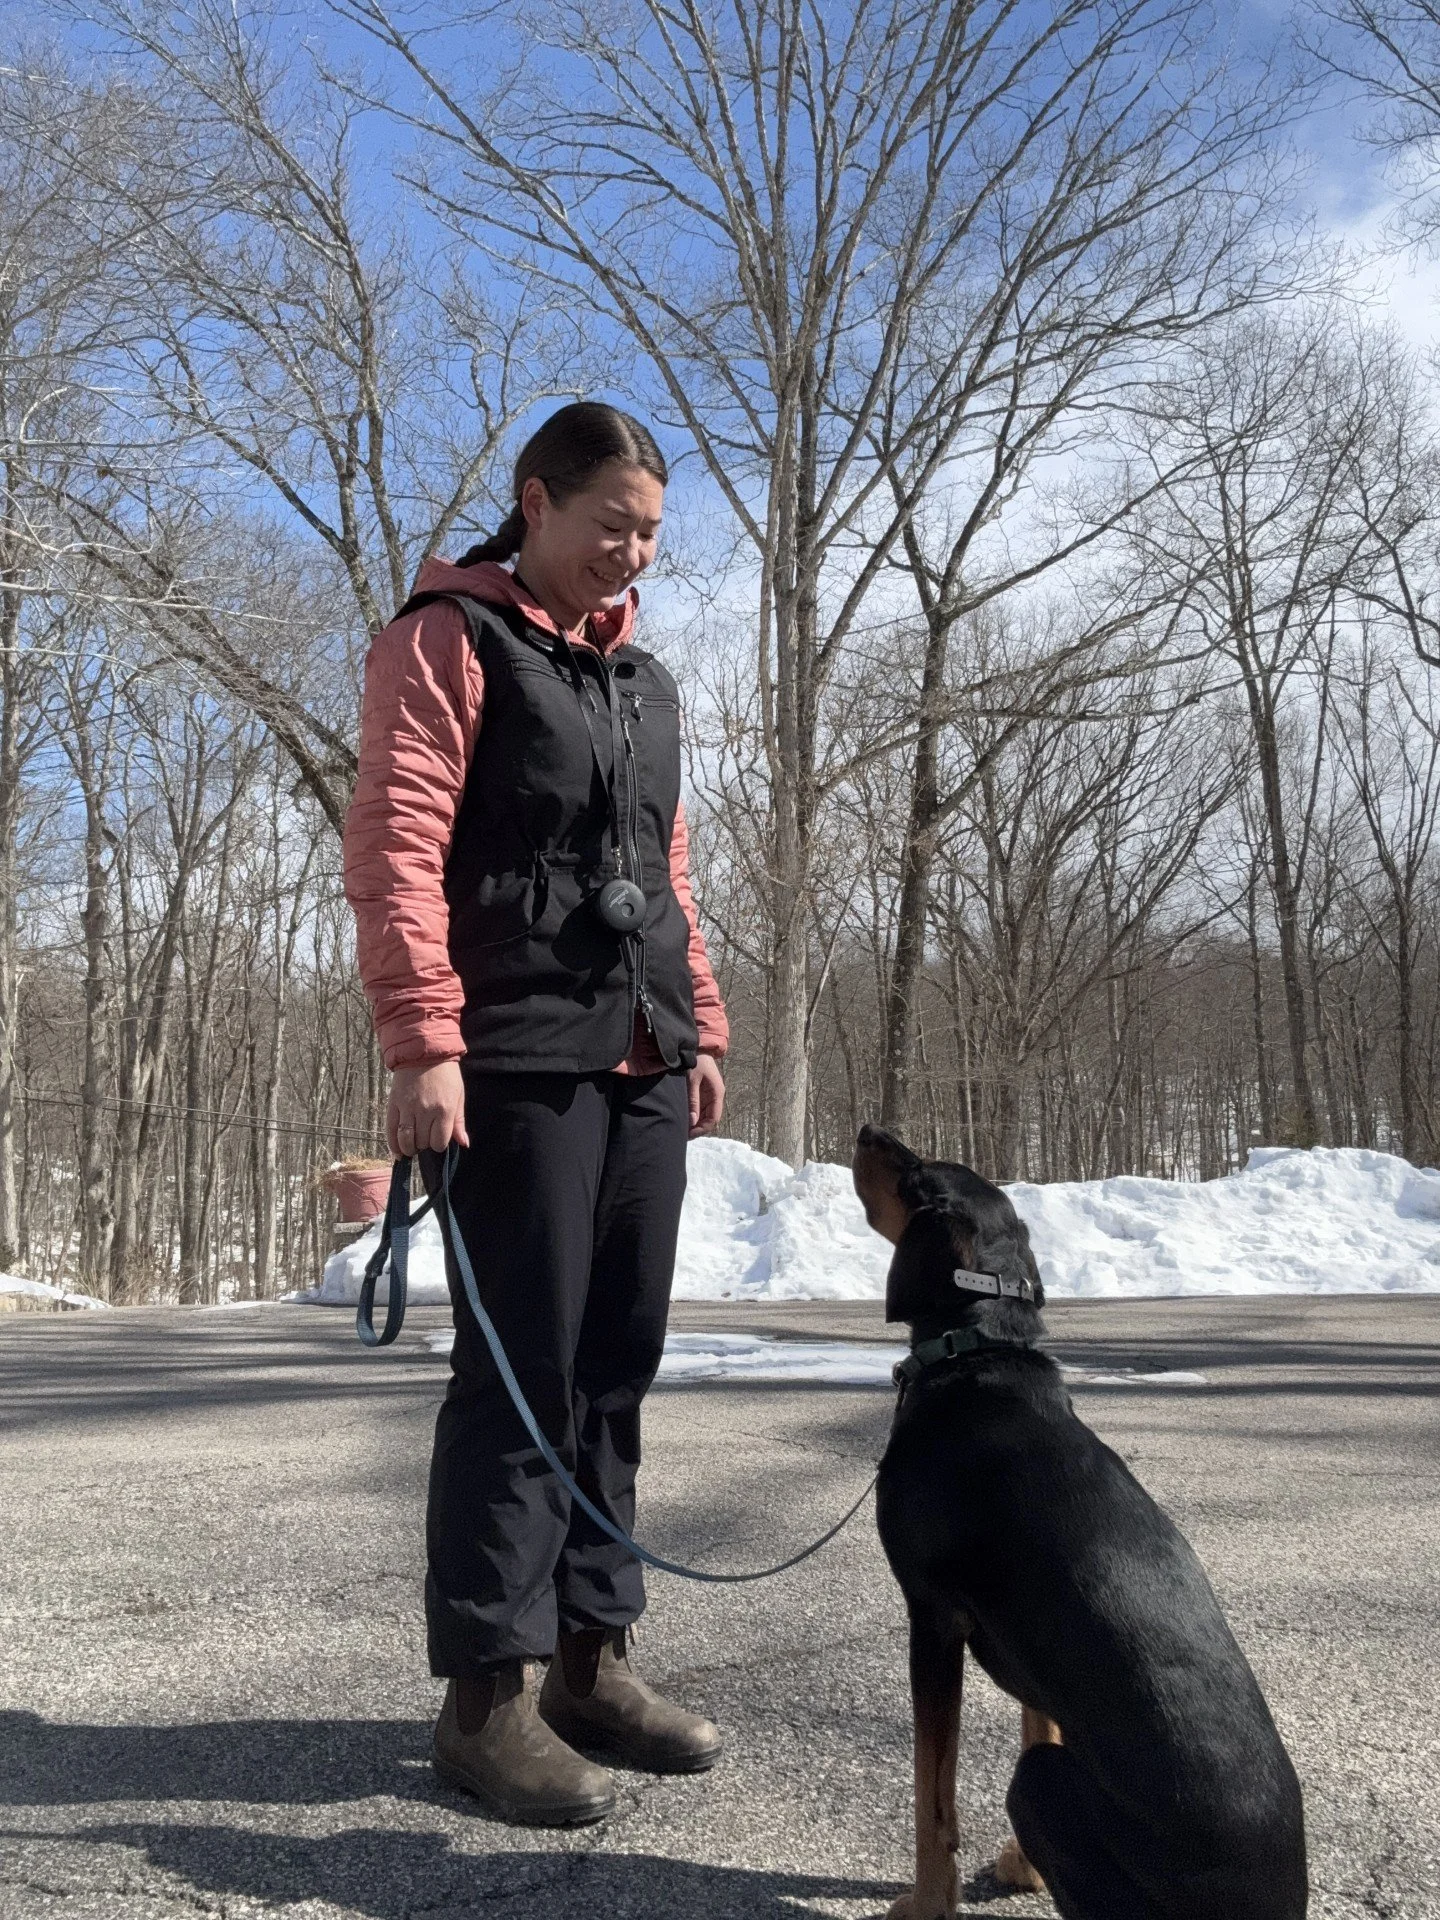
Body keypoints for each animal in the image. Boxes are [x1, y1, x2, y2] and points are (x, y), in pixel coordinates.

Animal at [853, 1124, 1307, 1920]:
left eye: (917, 1174)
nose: (868, 1130)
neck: (978, 1354)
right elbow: (1037, 1715)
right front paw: (1022, 1869)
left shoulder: (931, 1616)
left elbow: (931, 1792)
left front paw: (928, 1900)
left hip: (1040, 1782)